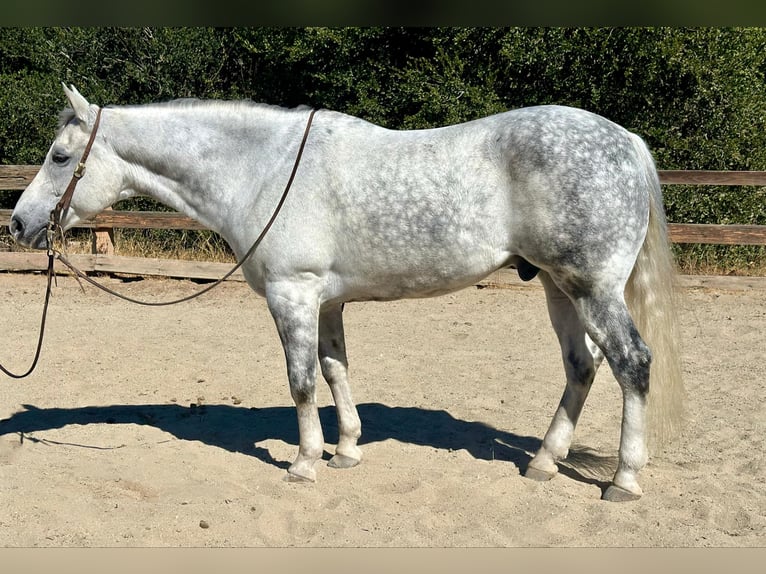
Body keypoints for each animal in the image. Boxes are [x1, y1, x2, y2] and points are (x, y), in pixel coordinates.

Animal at [10, 83, 684, 502]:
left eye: (60, 155)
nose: (19, 223)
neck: (261, 168)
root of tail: (626, 142)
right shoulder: (327, 301)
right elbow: (335, 370)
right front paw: (346, 451)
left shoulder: (292, 295)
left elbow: (302, 380)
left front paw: (305, 463)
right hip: (556, 287)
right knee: (581, 367)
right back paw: (543, 462)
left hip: (591, 287)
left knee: (631, 363)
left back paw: (623, 481)